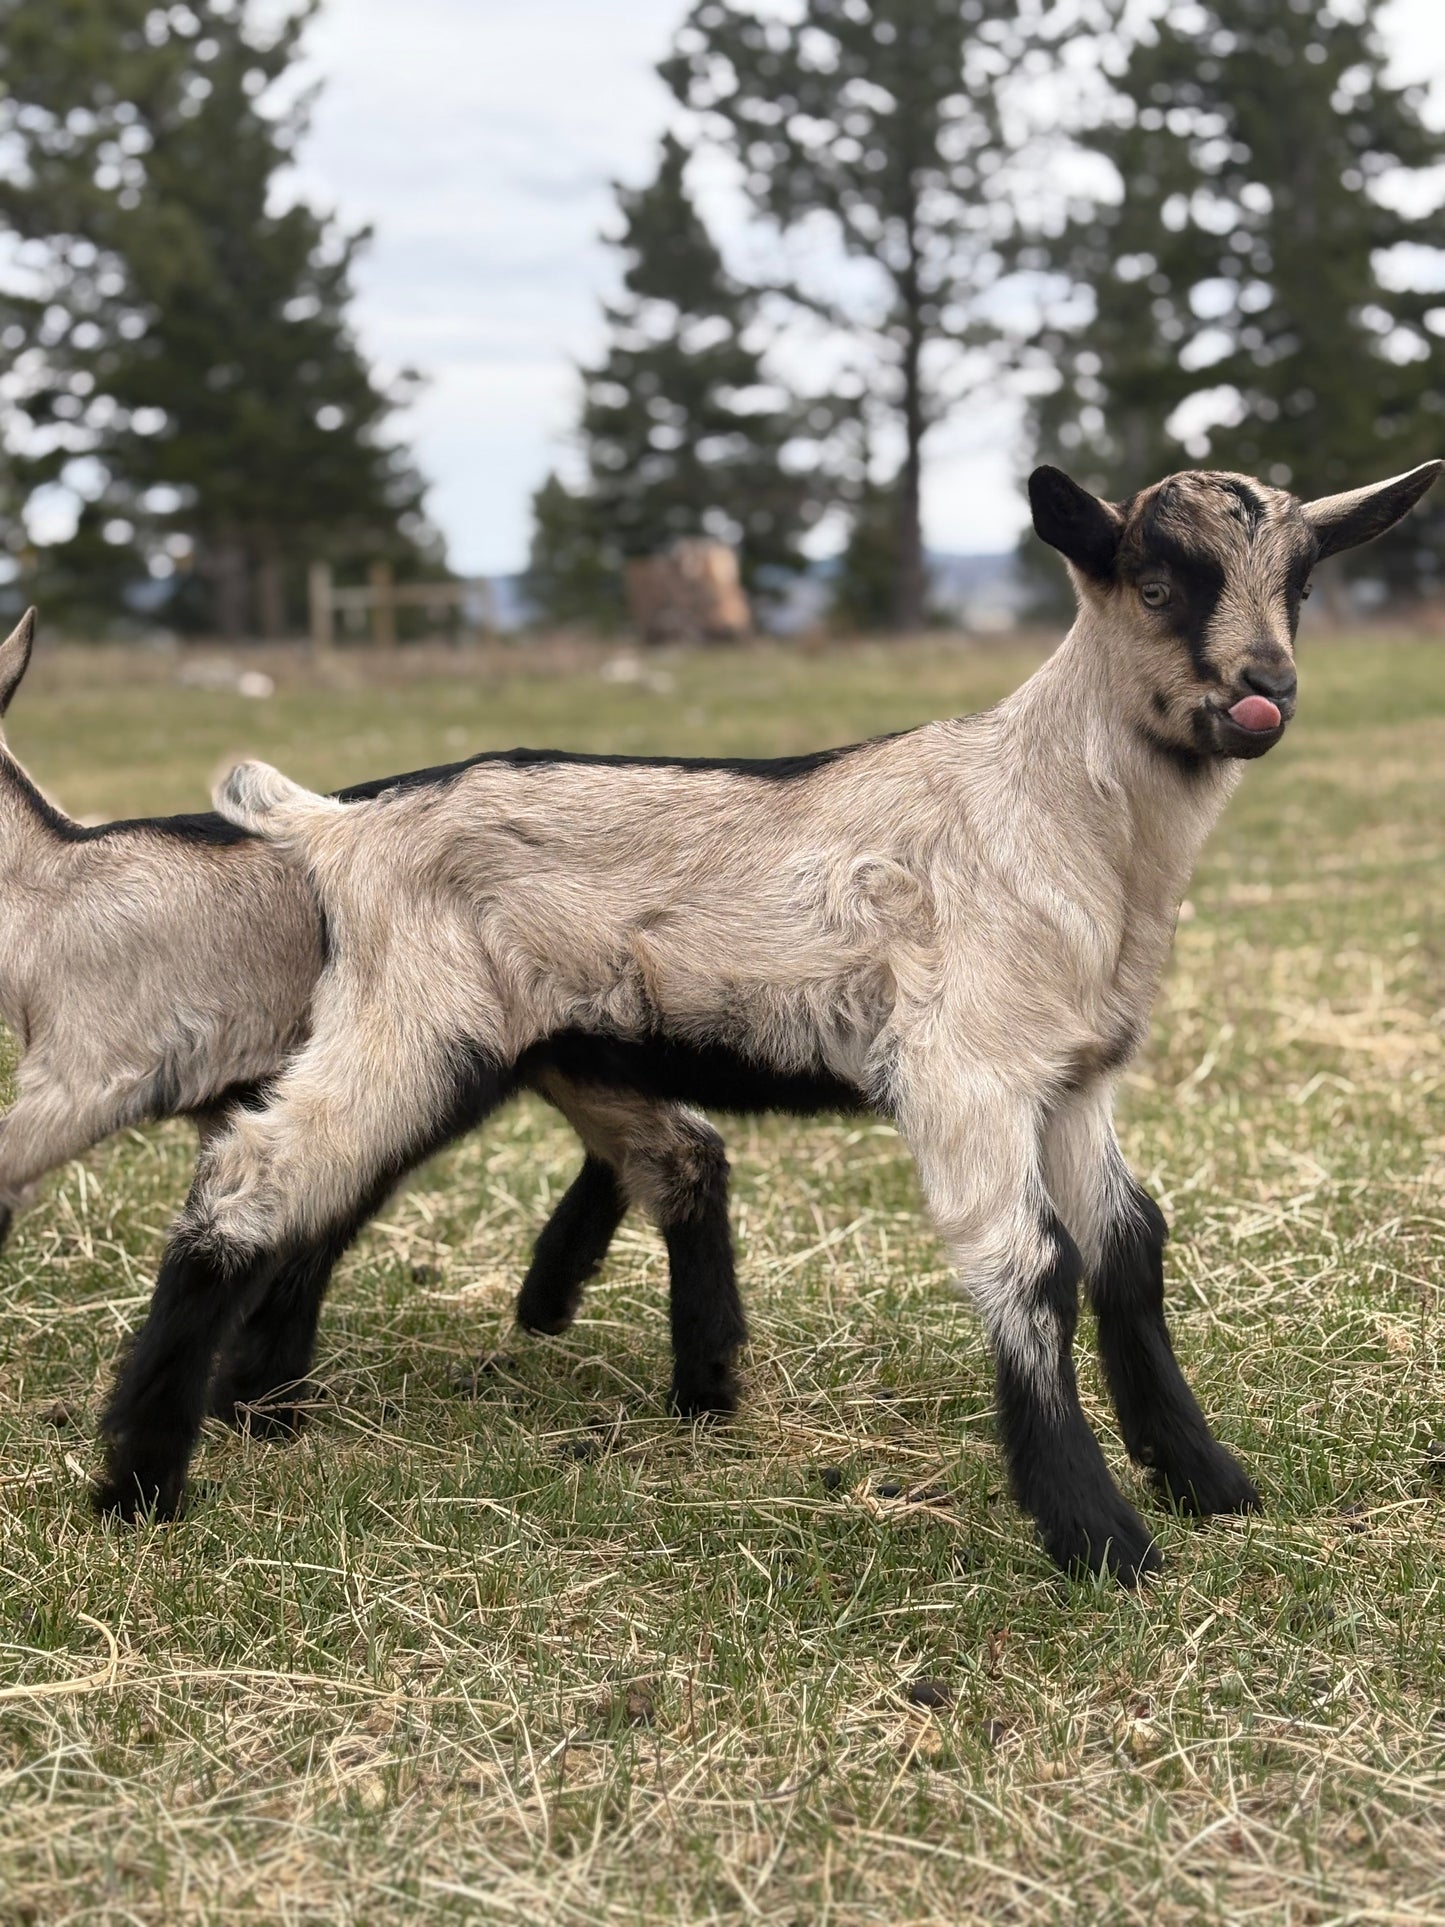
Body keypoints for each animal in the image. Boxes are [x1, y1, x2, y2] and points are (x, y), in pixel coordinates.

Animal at [95, 459, 1440, 1582]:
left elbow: (1128, 1244)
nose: (1263, 694)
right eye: (1156, 585)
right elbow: (1033, 1266)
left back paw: (261, 1406)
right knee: (252, 1181)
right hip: (413, 1022)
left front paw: (1205, 1479)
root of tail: (338, 825)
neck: (1052, 811)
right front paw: (1098, 1535)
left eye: (1299, 585)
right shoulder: (964, 1066)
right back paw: (140, 1477)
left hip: (451, 1042)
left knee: (324, 1193)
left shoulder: (1071, 1078)